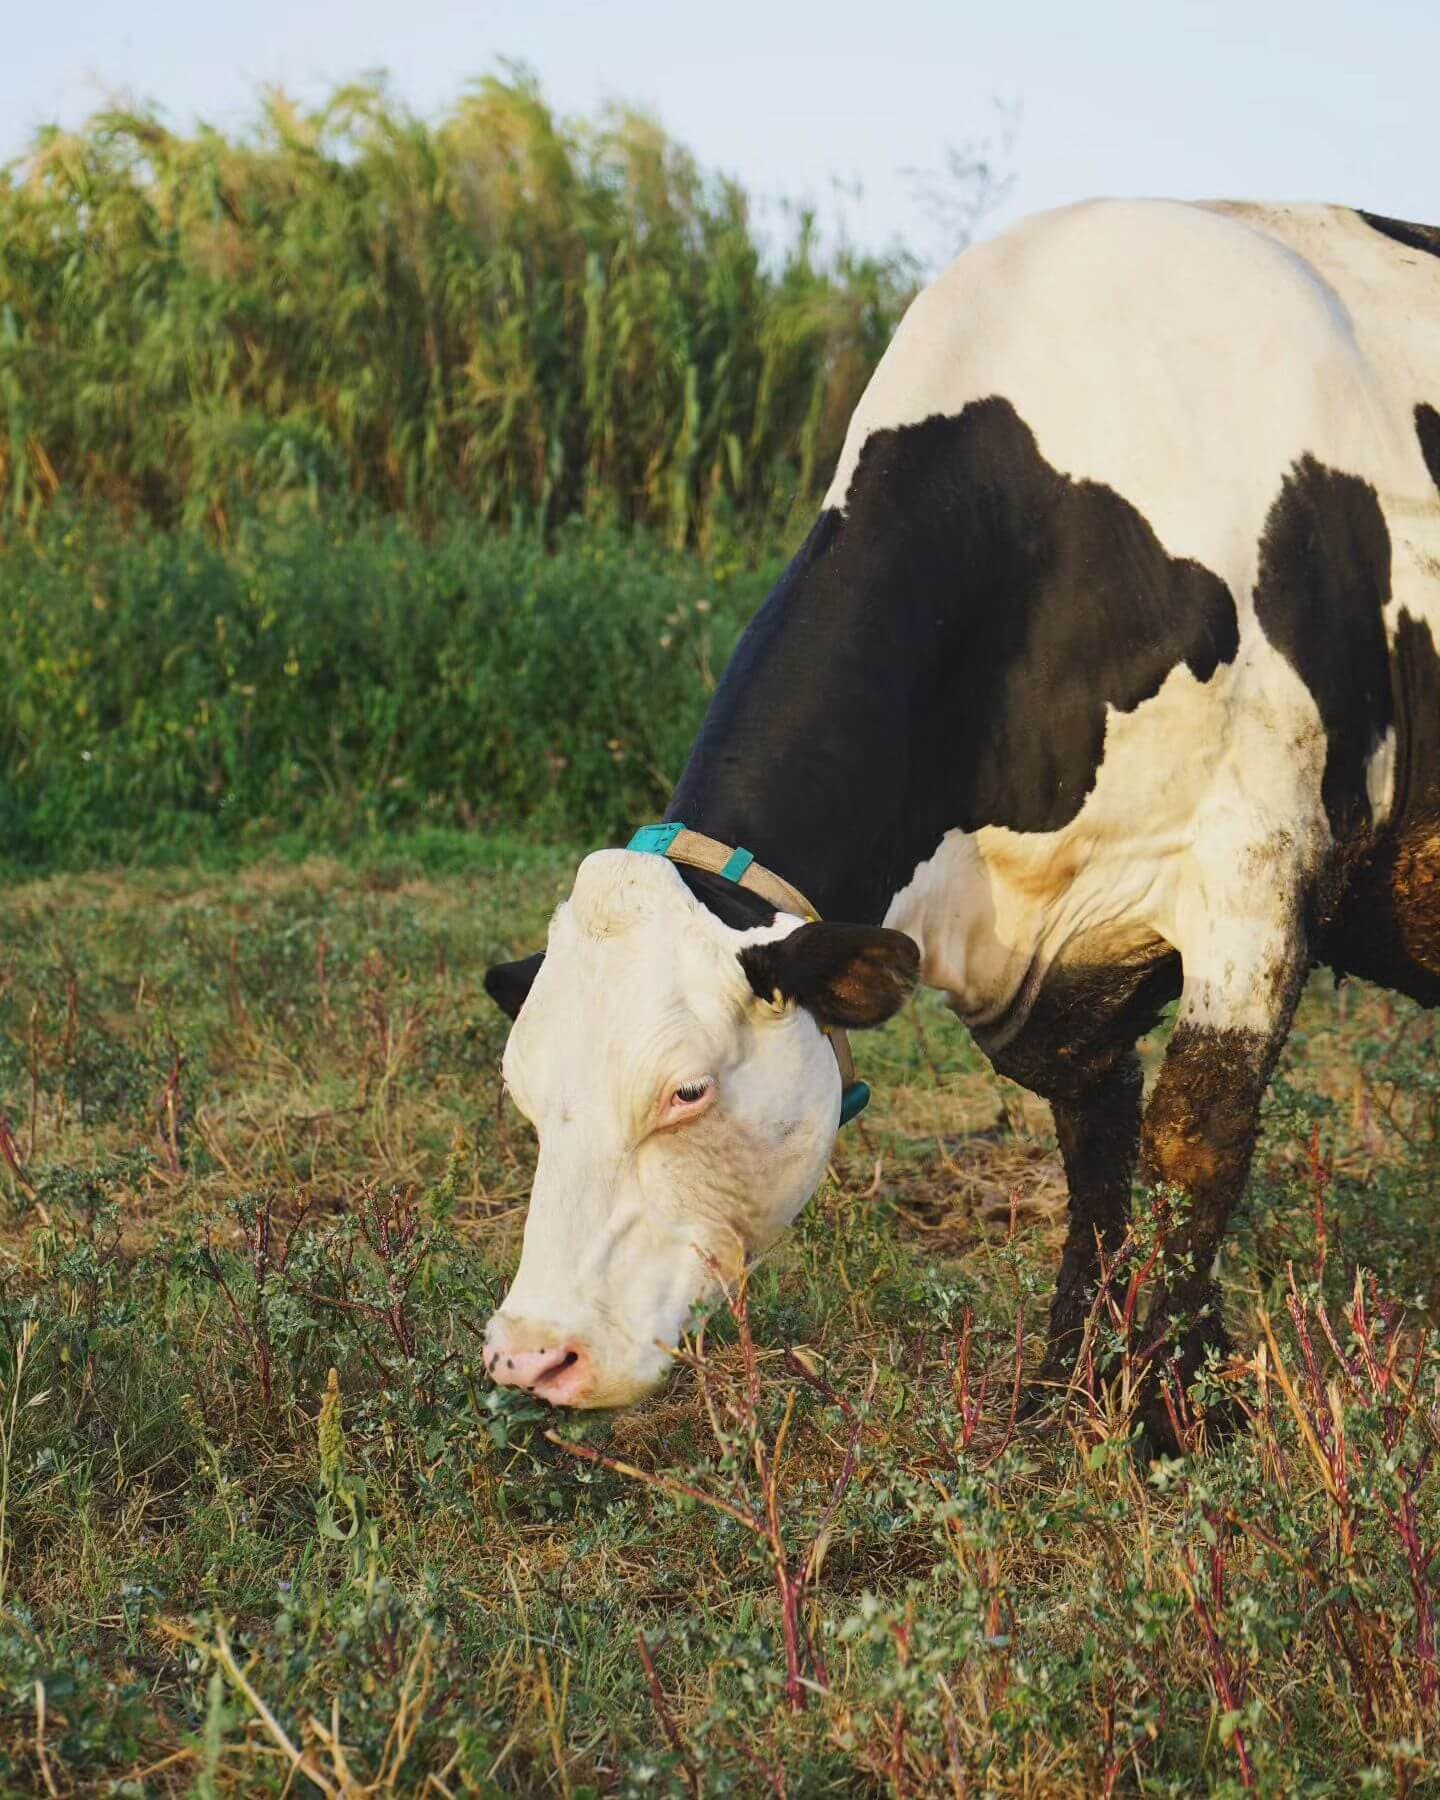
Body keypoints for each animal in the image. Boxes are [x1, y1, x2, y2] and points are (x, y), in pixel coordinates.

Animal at [482, 193, 1440, 1432]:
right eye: (524, 1093)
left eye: (685, 1091)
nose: (530, 1356)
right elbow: (1095, 1146)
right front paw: (1066, 1380)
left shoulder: (1260, 872)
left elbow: (1197, 1139)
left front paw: (1174, 1407)